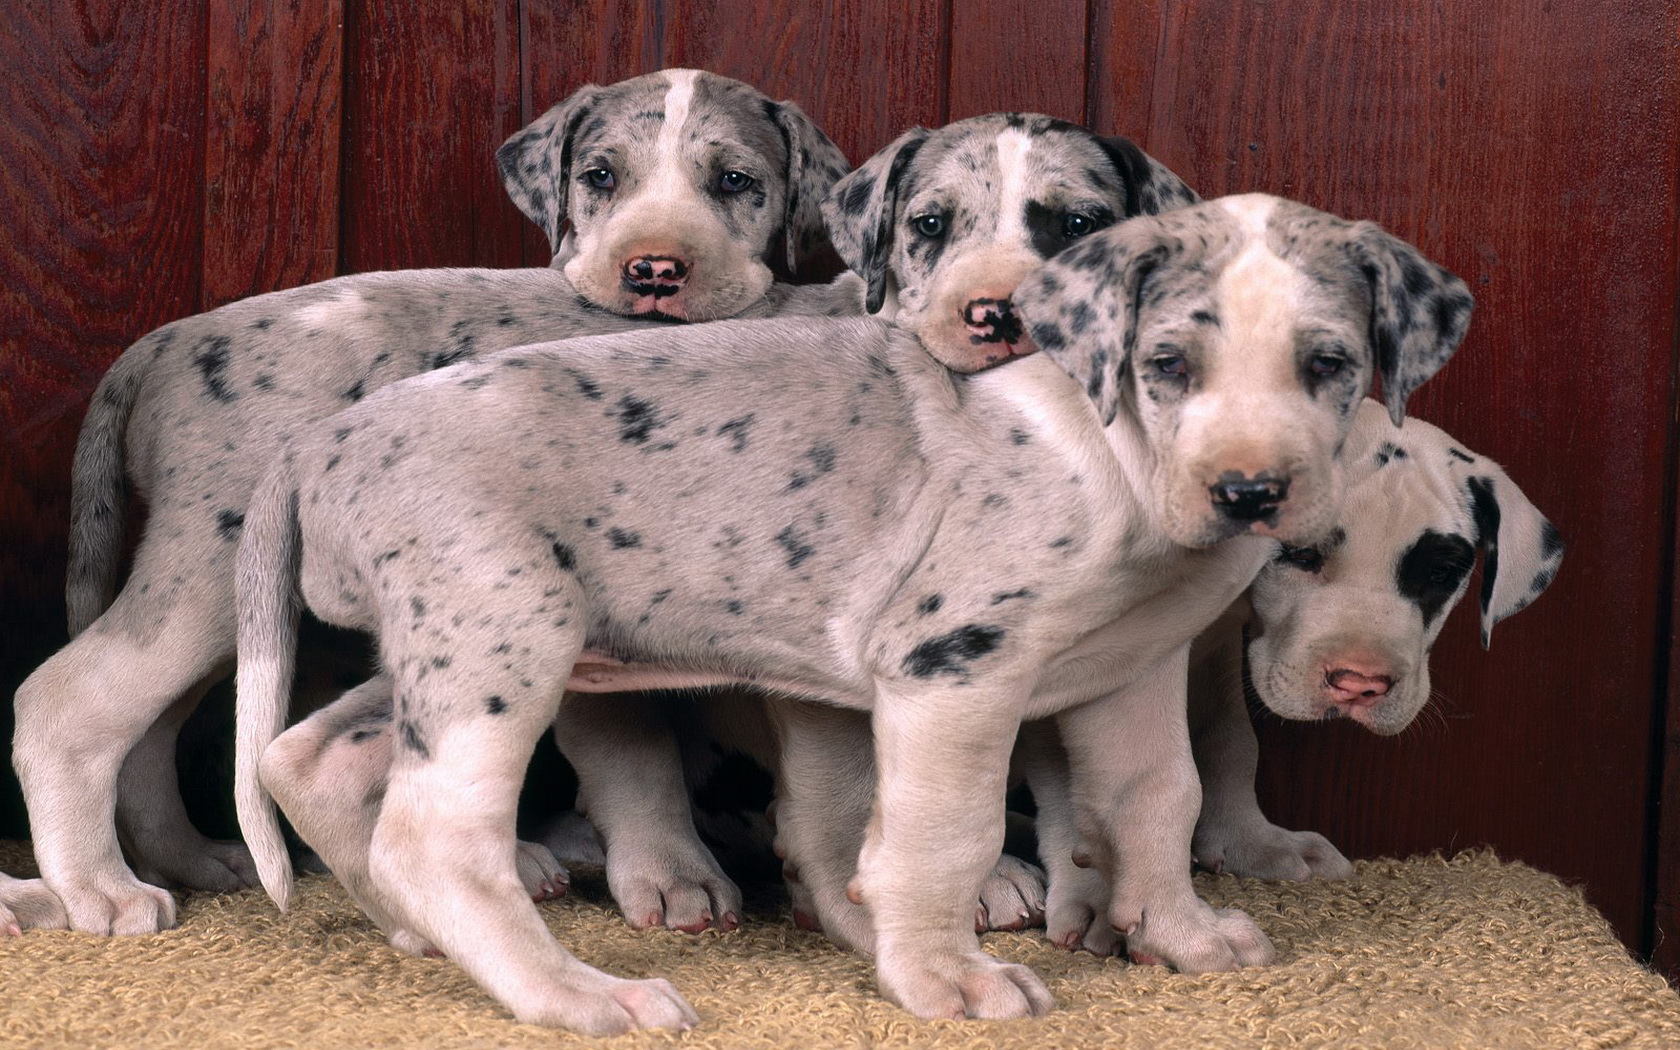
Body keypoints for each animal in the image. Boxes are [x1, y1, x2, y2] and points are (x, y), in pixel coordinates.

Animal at [9, 67, 853, 934]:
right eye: (600, 176)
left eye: (736, 182)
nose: (655, 273)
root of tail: (169, 340)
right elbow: (654, 758)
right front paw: (682, 878)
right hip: (208, 573)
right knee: (68, 701)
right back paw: (98, 889)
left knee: (149, 730)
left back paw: (192, 858)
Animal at [1034, 396, 1559, 954]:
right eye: (1299, 553)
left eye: (1439, 574)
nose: (1360, 684)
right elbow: (1131, 782)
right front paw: (1148, 913)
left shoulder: (1215, 643)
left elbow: (1230, 742)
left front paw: (1249, 841)